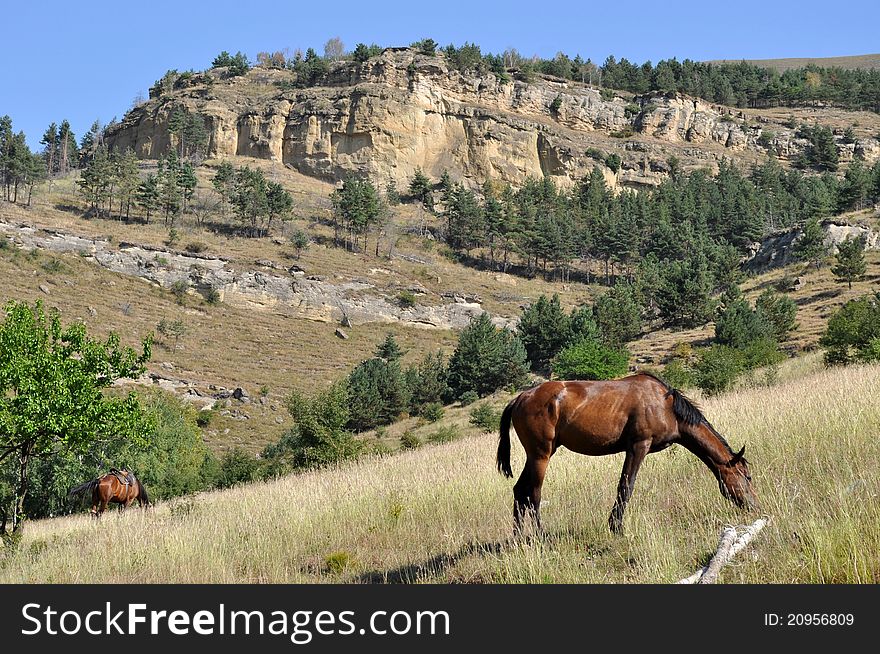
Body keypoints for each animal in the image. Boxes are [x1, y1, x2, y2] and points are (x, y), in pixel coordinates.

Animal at [496, 374, 756, 540]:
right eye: (747, 477)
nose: (754, 505)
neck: (667, 407)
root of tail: (520, 397)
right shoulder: (638, 446)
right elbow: (626, 486)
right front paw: (616, 527)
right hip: (541, 455)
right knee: (534, 495)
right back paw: (540, 536)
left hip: (534, 456)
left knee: (519, 491)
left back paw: (518, 538)